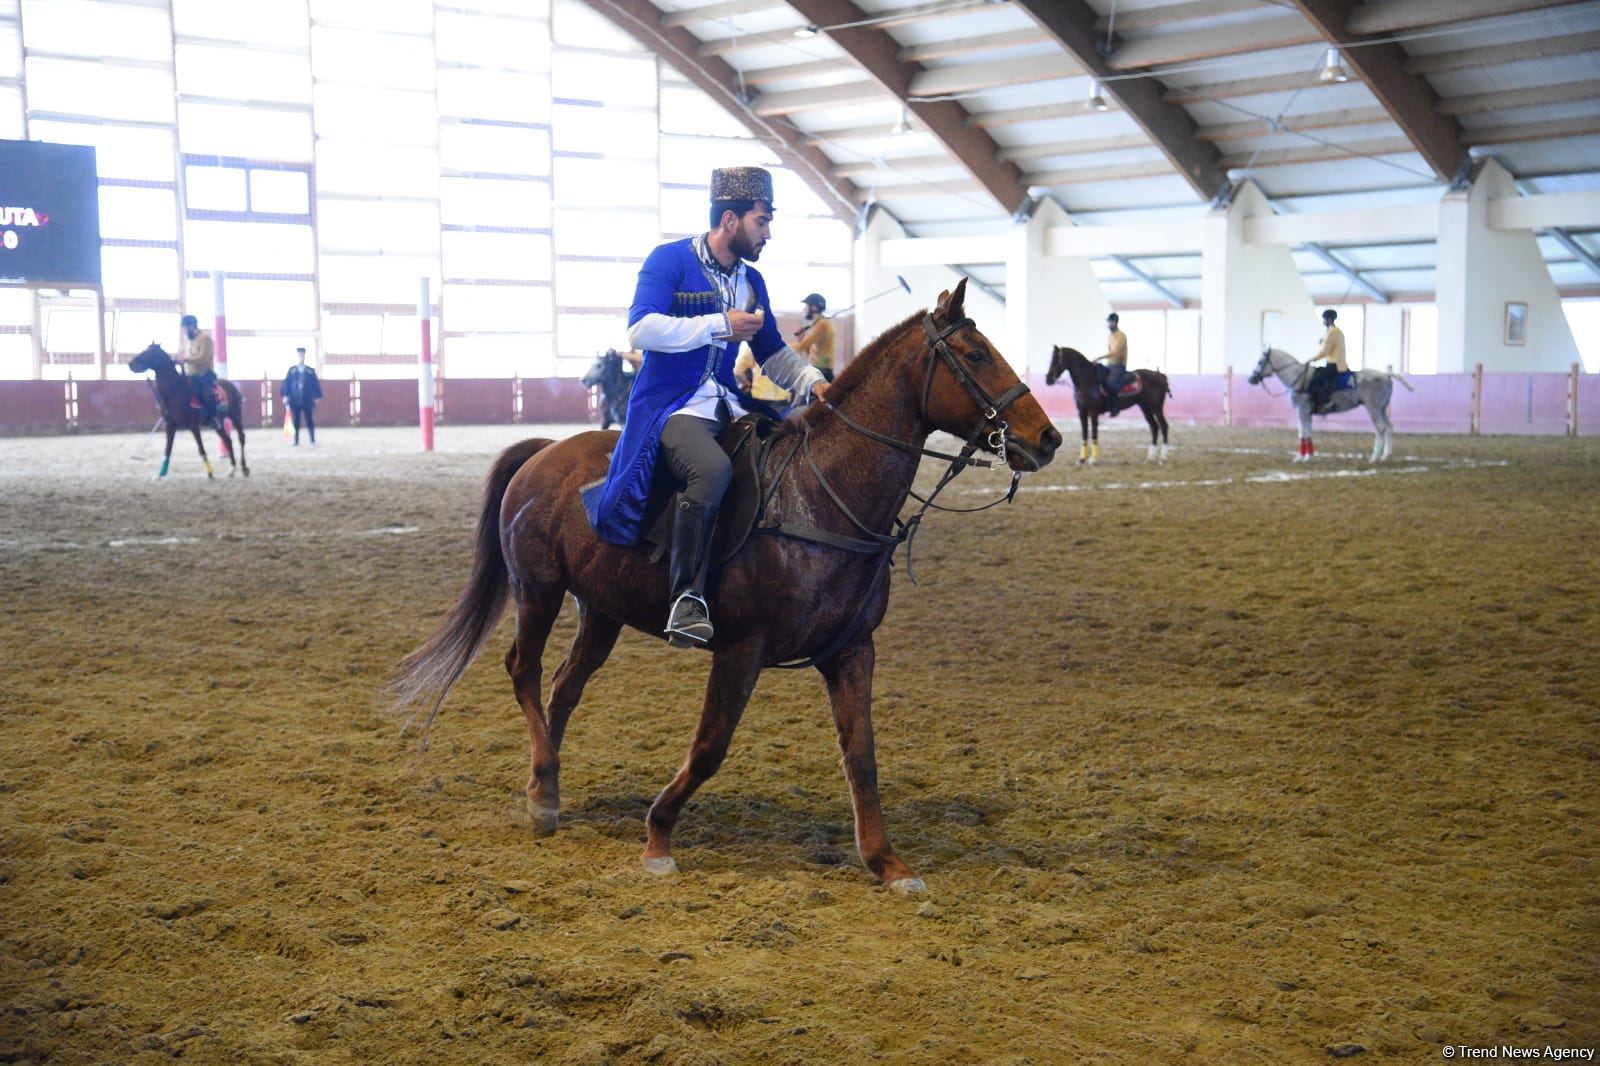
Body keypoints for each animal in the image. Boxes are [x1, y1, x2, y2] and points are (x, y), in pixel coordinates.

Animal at [128, 340, 248, 476]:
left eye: (148, 352)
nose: (130, 364)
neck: (175, 391)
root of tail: (233, 387)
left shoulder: (193, 425)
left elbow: (201, 449)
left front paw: (210, 473)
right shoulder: (170, 425)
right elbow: (168, 449)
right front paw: (161, 473)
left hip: (236, 416)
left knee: (241, 438)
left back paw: (244, 468)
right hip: (219, 424)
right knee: (228, 440)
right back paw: (232, 469)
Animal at [388, 278, 1062, 889]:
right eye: (976, 354)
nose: (1047, 438)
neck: (822, 496)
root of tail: (543, 452)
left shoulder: (852, 651)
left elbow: (862, 756)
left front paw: (887, 863)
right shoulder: (741, 648)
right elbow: (711, 745)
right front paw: (658, 837)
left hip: (600, 612)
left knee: (563, 687)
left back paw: (545, 782)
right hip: (538, 591)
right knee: (524, 671)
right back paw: (543, 794)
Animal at [1043, 347, 1171, 464]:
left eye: (1056, 360)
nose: (1048, 379)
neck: (1087, 380)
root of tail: (1161, 376)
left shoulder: (1093, 412)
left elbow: (1094, 433)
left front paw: (1093, 459)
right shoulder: (1082, 412)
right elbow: (1084, 434)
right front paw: (1082, 459)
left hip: (1156, 407)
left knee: (1164, 426)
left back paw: (1163, 457)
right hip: (1145, 407)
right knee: (1154, 427)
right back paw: (1151, 457)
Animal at [1248, 347, 1414, 464]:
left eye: (1260, 361)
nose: (1251, 379)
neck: (1298, 377)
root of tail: (1386, 375)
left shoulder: (1302, 410)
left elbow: (1303, 433)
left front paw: (1302, 458)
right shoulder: (1305, 413)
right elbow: (1306, 432)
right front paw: (1308, 456)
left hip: (1373, 408)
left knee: (1380, 428)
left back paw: (1374, 457)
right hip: (1382, 409)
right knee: (1389, 427)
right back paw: (1386, 455)